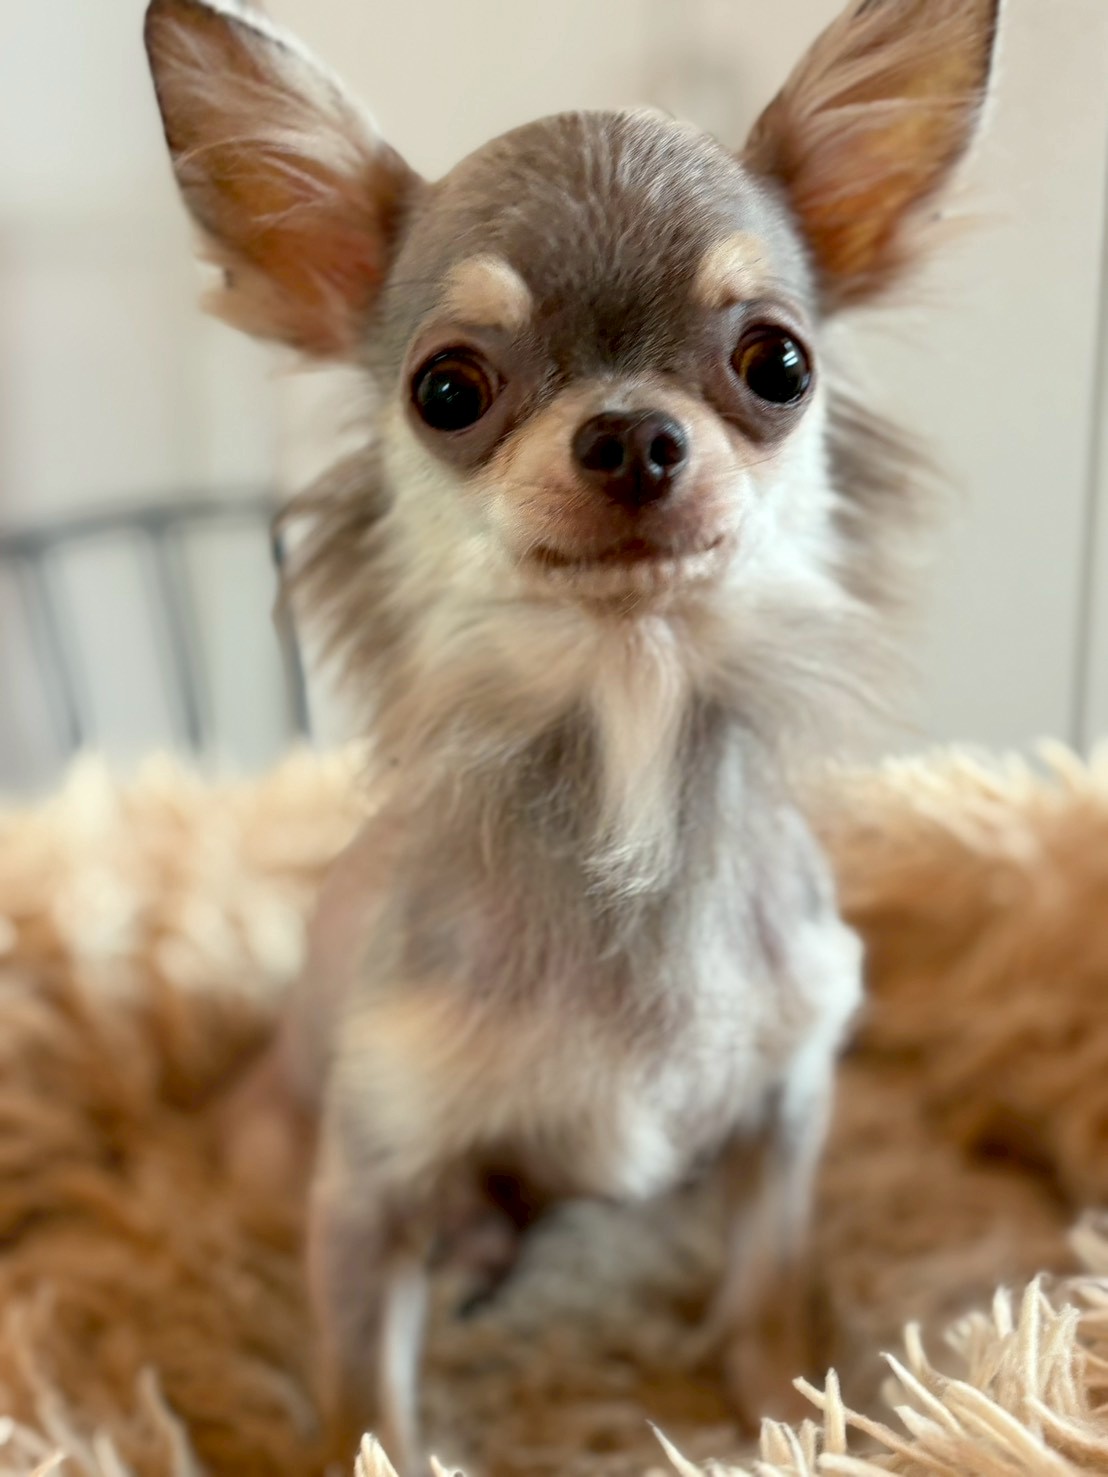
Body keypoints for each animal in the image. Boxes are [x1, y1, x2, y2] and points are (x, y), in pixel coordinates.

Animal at [144, 0, 1001, 1469]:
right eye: (447, 390)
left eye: (777, 364)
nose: (632, 436)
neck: (626, 739)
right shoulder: (364, 1187)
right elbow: (365, 1403)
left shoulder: (786, 1113)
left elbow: (766, 1294)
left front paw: (791, 1411)